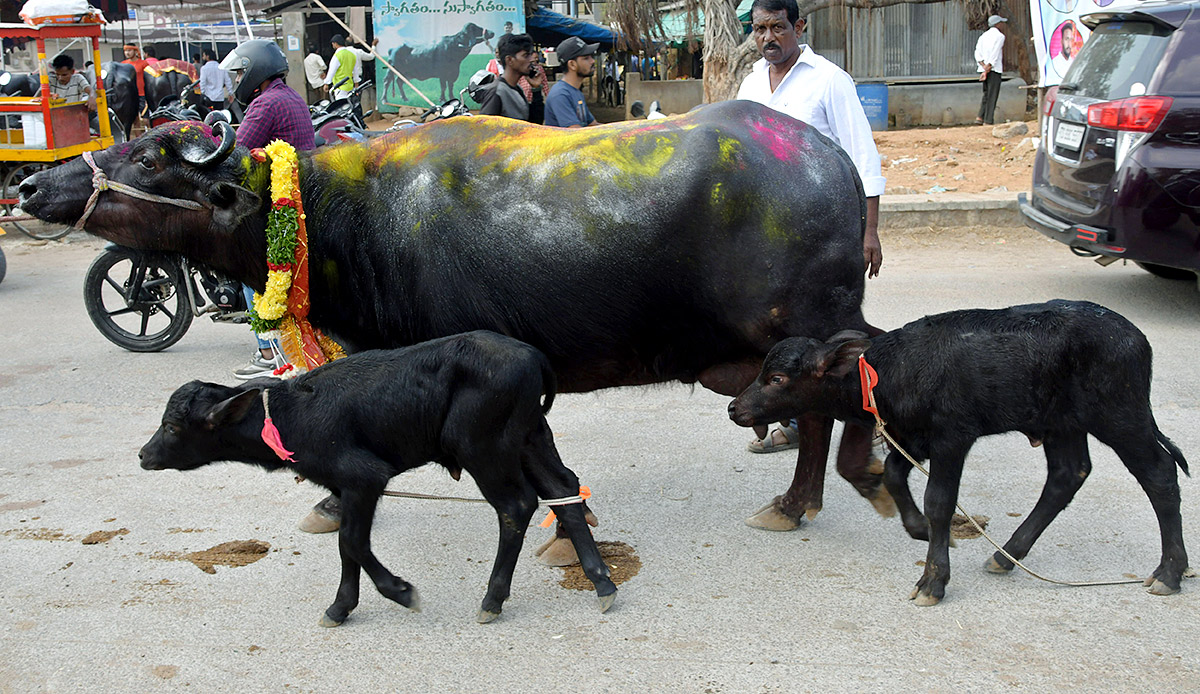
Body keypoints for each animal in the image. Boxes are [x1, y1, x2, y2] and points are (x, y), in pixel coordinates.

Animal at [21, 101, 892, 540]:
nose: (29, 188)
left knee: (832, 404)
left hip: (808, 328)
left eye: (149, 158)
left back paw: (808, 497)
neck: (340, 215)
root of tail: (833, 158)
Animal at [138, 328, 619, 619]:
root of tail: (532, 357)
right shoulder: (346, 488)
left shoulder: (363, 477)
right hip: (531, 437)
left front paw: (401, 592)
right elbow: (346, 545)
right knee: (565, 490)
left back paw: (493, 598)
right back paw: (602, 582)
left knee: (515, 506)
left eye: (173, 427)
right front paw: (340, 608)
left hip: (483, 446)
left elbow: (353, 541)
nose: (143, 455)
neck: (291, 415)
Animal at [724, 300, 1185, 602]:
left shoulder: (951, 438)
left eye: (777, 378)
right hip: (1062, 424)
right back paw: (1006, 556)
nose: (734, 408)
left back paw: (1169, 572)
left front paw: (933, 579)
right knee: (1068, 475)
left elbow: (940, 501)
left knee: (1160, 474)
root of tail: (1134, 336)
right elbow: (894, 474)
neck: (892, 371)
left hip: (1121, 416)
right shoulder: (913, 439)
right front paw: (918, 530)